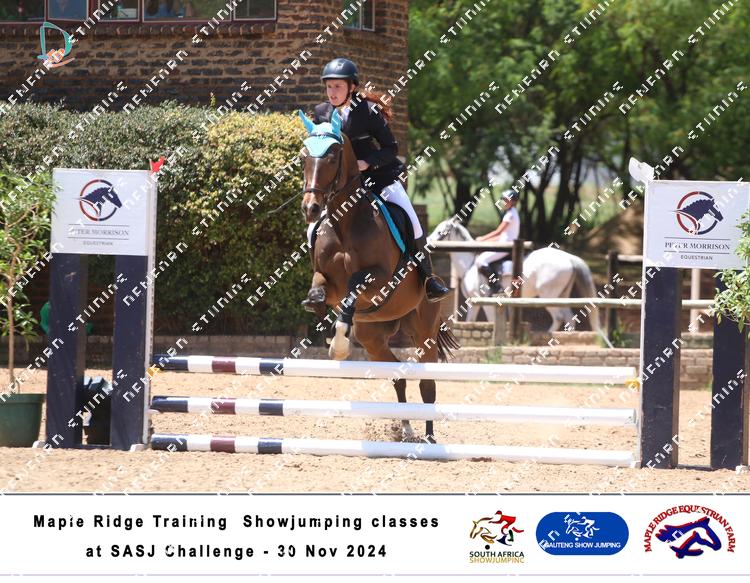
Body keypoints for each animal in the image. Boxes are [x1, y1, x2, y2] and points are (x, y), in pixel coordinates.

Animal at [297, 109, 459, 442]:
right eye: (304, 156)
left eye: (332, 156)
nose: (311, 208)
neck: (345, 221)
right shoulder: (325, 278)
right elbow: (320, 292)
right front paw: (326, 324)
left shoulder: (381, 278)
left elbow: (355, 284)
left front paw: (338, 345)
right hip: (373, 337)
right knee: (397, 376)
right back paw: (406, 428)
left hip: (424, 329)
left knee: (427, 384)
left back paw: (429, 437)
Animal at [428, 219, 612, 347]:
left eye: (440, 232)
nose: (428, 242)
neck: (470, 265)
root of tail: (569, 258)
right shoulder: (474, 303)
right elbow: (469, 322)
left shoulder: (486, 303)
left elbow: (490, 322)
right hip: (562, 295)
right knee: (569, 318)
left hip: (548, 295)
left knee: (559, 317)